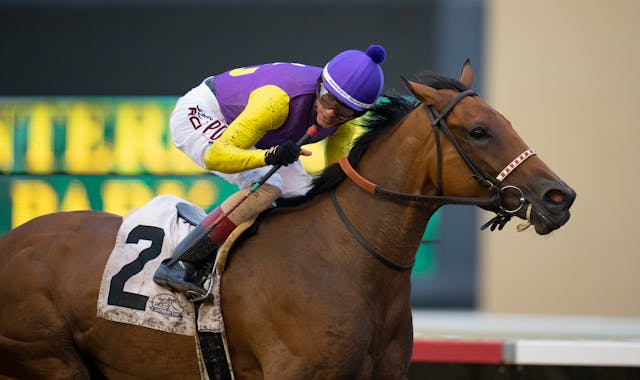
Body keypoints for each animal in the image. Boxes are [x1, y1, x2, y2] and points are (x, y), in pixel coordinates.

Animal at [0, 60, 576, 378]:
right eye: (479, 131)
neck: (346, 260)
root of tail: (14, 239)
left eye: (506, 122)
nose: (559, 196)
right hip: (47, 360)